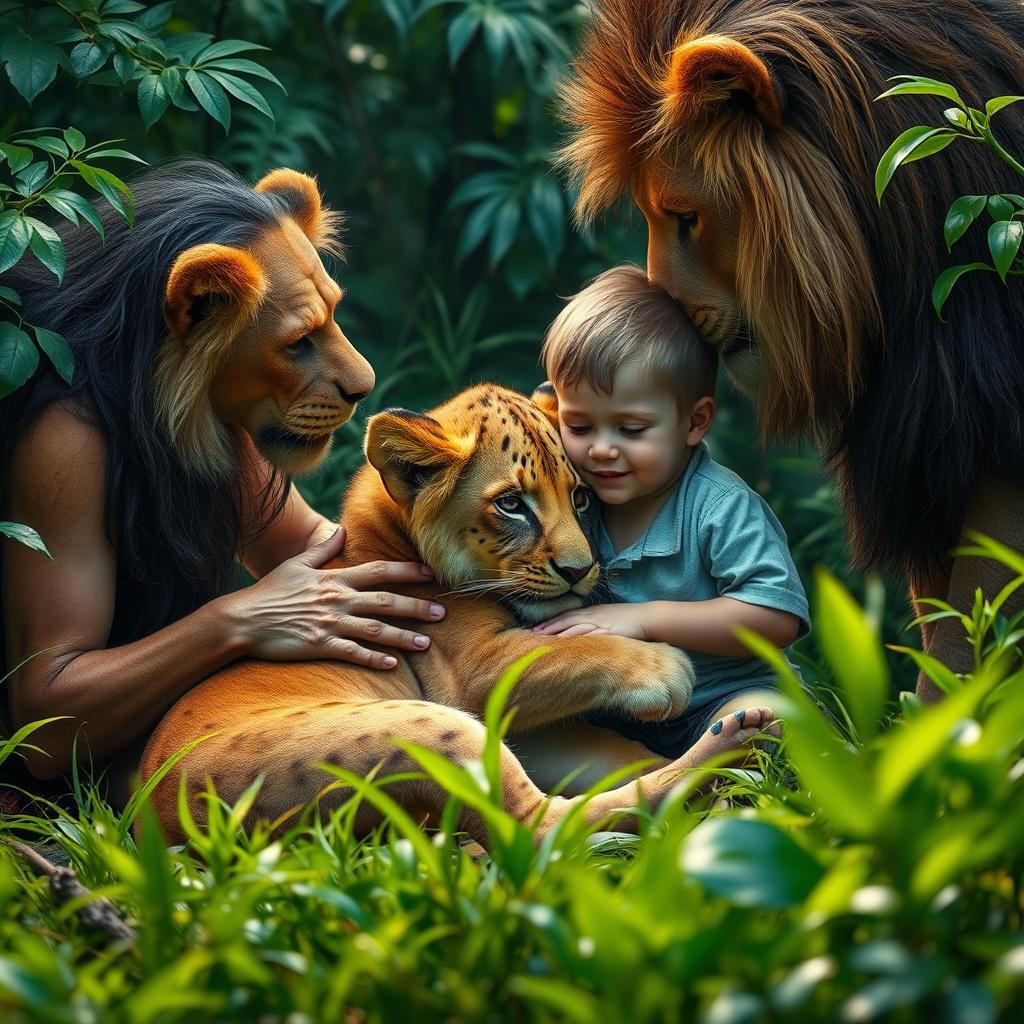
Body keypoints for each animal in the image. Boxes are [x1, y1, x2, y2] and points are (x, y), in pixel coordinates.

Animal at [140, 383, 699, 843]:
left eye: (581, 497)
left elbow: (607, 748)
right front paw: (665, 671)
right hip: (426, 727)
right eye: (512, 504)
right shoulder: (469, 672)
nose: (580, 570)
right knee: (540, 827)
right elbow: (568, 649)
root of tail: (159, 823)